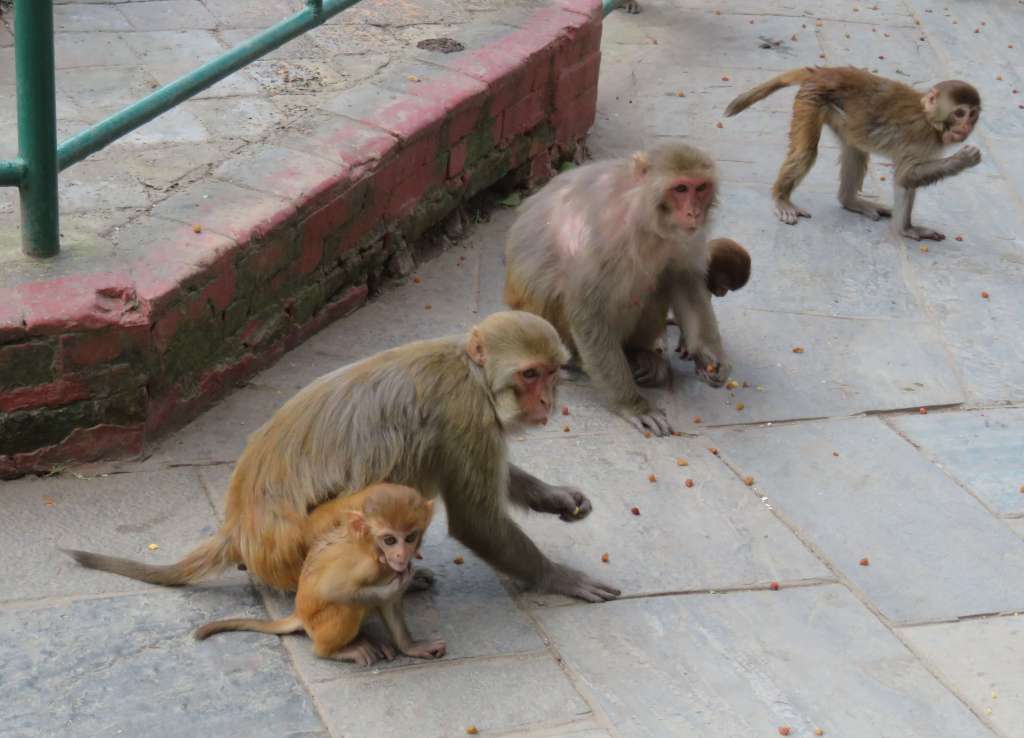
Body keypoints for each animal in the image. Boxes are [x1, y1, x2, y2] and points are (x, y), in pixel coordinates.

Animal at [63, 311, 620, 604]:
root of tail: (240, 527)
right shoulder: (467, 416)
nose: (548, 402)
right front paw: (556, 578)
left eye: (552, 372)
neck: (472, 372)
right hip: (297, 547)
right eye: (530, 375)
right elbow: (476, 519)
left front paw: (556, 497)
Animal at [195, 484, 445, 666]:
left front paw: (411, 647)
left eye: (410, 537)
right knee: (347, 606)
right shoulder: (365, 565)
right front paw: (397, 587)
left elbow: (390, 605)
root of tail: (299, 614)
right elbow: (333, 591)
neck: (371, 548)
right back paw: (335, 651)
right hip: (318, 625)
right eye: (390, 540)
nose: (401, 554)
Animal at [504, 143, 730, 437]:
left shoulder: (683, 236)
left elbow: (684, 278)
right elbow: (586, 310)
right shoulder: (604, 232)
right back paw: (577, 362)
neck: (643, 213)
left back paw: (639, 356)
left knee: (659, 282)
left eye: (700, 187)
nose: (695, 213)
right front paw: (634, 406)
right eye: (680, 188)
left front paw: (709, 355)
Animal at [724, 67, 982, 241]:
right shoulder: (919, 137)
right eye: (959, 113)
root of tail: (827, 72)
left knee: (855, 150)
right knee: (806, 152)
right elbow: (905, 176)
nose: (966, 126)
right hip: (811, 100)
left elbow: (906, 181)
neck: (931, 121)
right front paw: (962, 159)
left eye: (973, 114)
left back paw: (849, 200)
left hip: (836, 114)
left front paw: (906, 228)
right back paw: (781, 198)